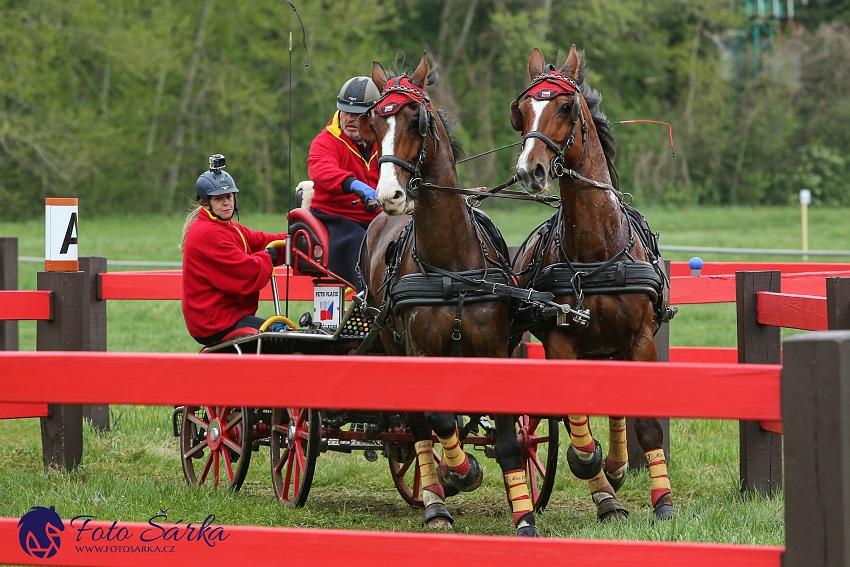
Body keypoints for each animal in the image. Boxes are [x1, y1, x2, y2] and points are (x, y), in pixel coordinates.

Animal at [358, 54, 544, 536]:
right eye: (373, 123)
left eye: (416, 119)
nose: (389, 195)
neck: (451, 268)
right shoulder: (421, 352)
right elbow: (439, 420)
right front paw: (460, 472)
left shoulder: (495, 351)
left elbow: (508, 440)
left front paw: (524, 515)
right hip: (393, 345)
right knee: (420, 429)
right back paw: (435, 500)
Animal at [510, 47, 676, 524]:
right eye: (522, 110)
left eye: (566, 106)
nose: (530, 170)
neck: (596, 249)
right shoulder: (560, 342)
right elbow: (578, 429)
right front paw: (600, 486)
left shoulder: (640, 339)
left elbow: (645, 423)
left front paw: (663, 501)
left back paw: (618, 467)